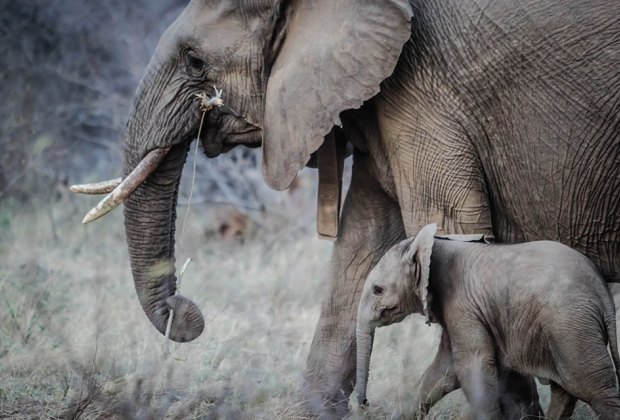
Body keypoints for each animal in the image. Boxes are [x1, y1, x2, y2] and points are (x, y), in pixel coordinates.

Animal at [354, 225, 620, 418]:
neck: (433, 244)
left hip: (570, 325)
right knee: (565, 390)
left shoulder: (462, 304)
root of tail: (602, 292)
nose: (364, 403)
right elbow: (443, 372)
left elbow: (473, 367)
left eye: (377, 290)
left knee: (594, 389)